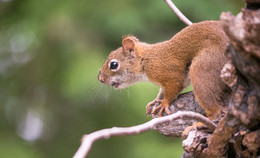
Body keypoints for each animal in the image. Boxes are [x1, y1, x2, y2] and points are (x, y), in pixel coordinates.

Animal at [97, 21, 230, 119]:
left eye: (113, 65)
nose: (100, 79)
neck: (146, 60)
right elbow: (161, 91)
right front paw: (155, 100)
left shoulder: (168, 72)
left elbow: (173, 86)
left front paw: (164, 103)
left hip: (205, 65)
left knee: (214, 105)